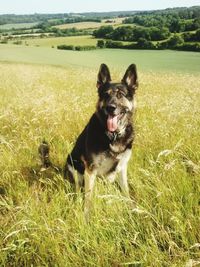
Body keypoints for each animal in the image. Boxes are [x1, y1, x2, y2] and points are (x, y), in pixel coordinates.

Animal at [38, 63, 138, 219]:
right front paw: (87, 217)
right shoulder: (90, 170)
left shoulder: (122, 167)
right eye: (105, 94)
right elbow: (89, 197)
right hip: (75, 168)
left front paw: (132, 208)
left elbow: (126, 191)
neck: (113, 136)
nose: (110, 108)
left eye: (120, 94)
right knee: (79, 190)